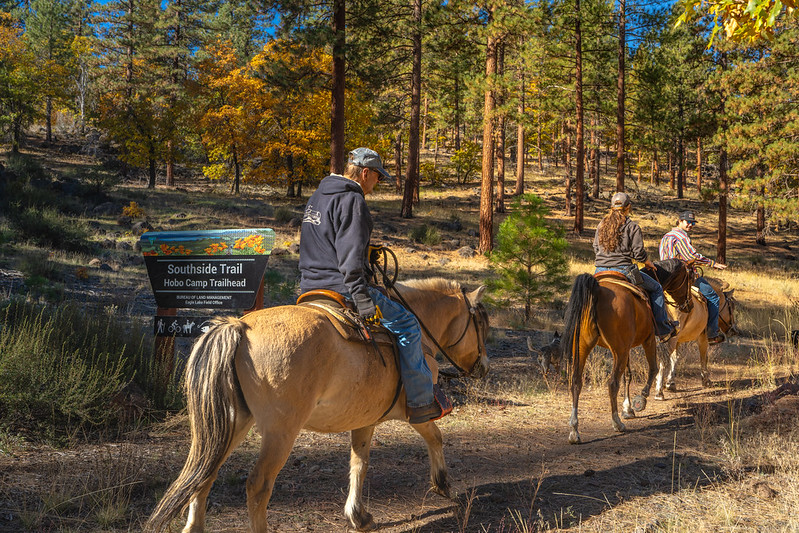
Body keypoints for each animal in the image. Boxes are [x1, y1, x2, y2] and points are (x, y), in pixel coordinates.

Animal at [145, 278, 489, 533]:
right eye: (481, 324)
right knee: (257, 486)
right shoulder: (416, 412)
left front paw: (358, 516)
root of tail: (239, 328)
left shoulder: (364, 420)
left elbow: (359, 462)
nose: (483, 367)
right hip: (280, 432)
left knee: (204, 474)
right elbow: (435, 436)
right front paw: (442, 483)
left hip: (230, 423)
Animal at [562, 258, 695, 444]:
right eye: (690, 278)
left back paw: (574, 430)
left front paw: (628, 408)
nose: (689, 305)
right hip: (618, 350)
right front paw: (641, 399)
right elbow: (653, 368)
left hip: (584, 348)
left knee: (576, 382)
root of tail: (597, 290)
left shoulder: (627, 347)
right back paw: (617, 423)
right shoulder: (648, 340)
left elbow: (628, 376)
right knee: (612, 383)